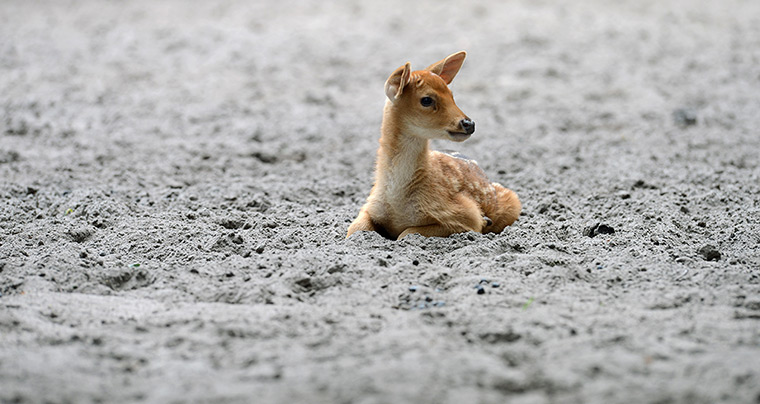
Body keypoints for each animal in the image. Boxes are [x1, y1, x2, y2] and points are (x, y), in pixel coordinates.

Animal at [346, 51, 521, 240]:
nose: (469, 123)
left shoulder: (463, 213)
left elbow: (406, 233)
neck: (397, 201)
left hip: (512, 199)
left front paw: (484, 221)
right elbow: (353, 229)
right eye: (426, 100)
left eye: (452, 95)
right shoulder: (369, 205)